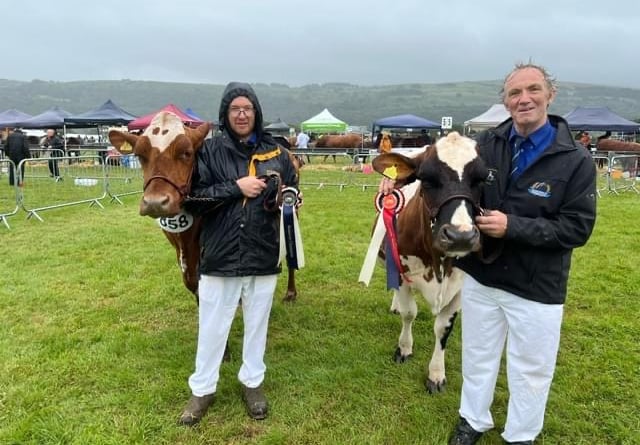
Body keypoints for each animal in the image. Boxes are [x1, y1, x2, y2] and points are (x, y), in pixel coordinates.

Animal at [109, 110, 302, 302]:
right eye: (139, 156)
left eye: (187, 153)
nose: (155, 202)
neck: (184, 236)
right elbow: (193, 283)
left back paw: (291, 291)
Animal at [368, 131, 488, 392]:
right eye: (426, 178)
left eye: (483, 179)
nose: (460, 236)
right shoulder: (401, 270)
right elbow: (409, 313)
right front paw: (404, 349)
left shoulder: (460, 286)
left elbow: (443, 329)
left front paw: (436, 373)